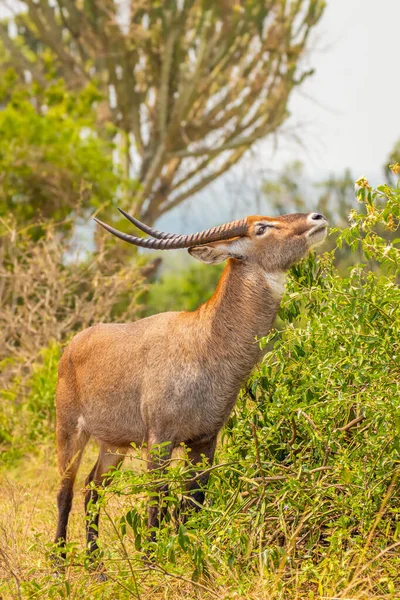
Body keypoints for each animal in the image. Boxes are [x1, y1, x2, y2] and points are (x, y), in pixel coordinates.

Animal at [54, 209, 328, 564]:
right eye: (261, 228)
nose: (316, 217)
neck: (205, 341)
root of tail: (74, 343)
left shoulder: (204, 441)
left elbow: (193, 501)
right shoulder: (159, 441)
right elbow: (158, 498)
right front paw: (151, 562)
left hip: (114, 445)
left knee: (92, 488)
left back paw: (94, 562)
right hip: (70, 431)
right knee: (66, 490)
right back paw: (59, 561)